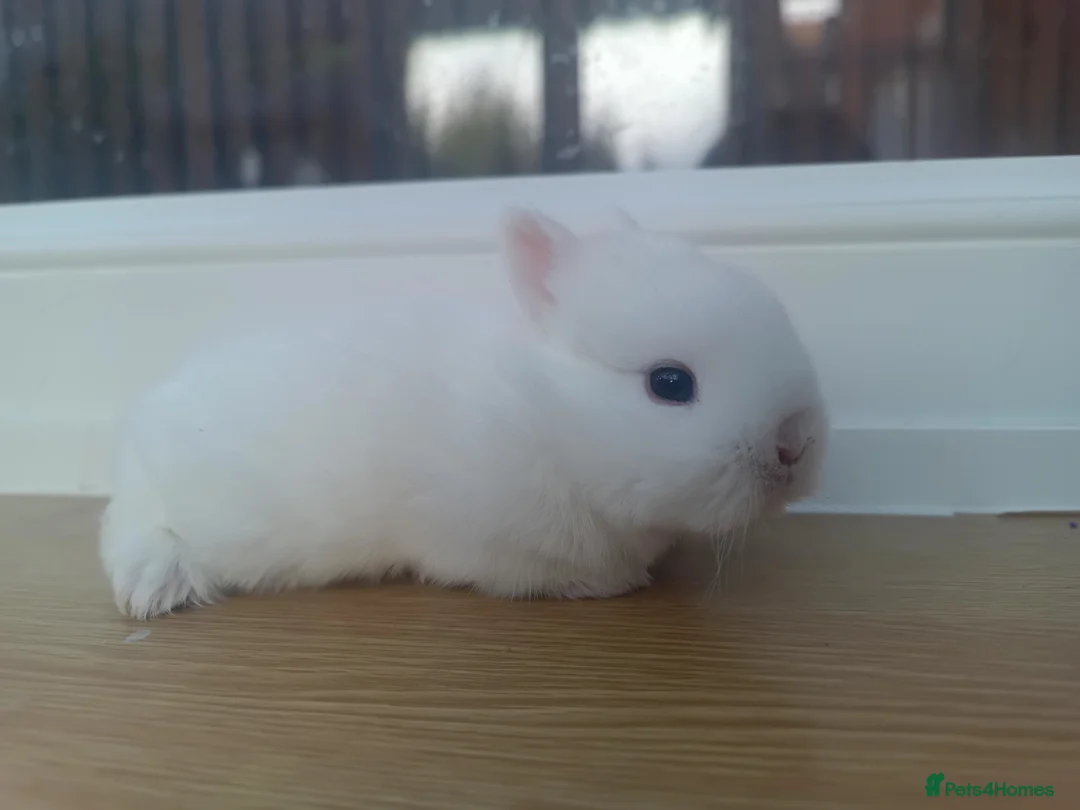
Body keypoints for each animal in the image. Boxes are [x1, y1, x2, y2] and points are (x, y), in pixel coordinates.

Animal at [100, 210, 828, 619]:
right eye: (670, 383)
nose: (794, 444)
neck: (547, 414)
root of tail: (141, 432)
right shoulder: (483, 544)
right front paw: (617, 584)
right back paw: (153, 592)